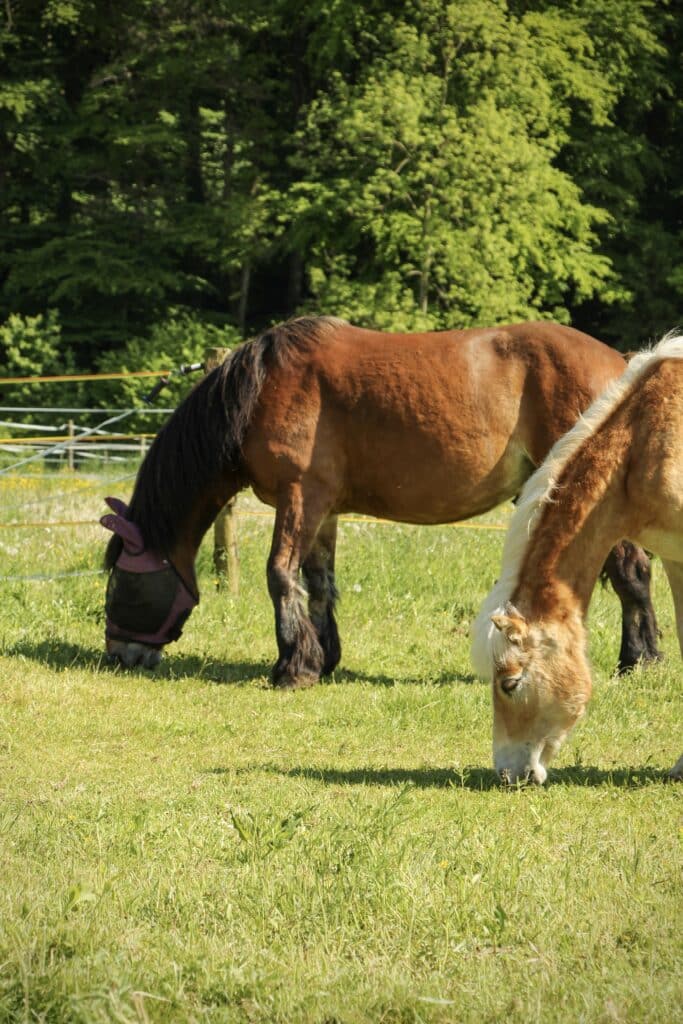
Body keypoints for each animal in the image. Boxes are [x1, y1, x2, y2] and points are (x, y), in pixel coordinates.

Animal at [100, 316, 661, 686]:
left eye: (120, 583)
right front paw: (320, 659)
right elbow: (318, 583)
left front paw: (290, 667)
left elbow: (280, 574)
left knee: (629, 571)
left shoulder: (298, 496)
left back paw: (636, 660)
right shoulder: (321, 508)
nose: (118, 656)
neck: (261, 391)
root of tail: (622, 364)